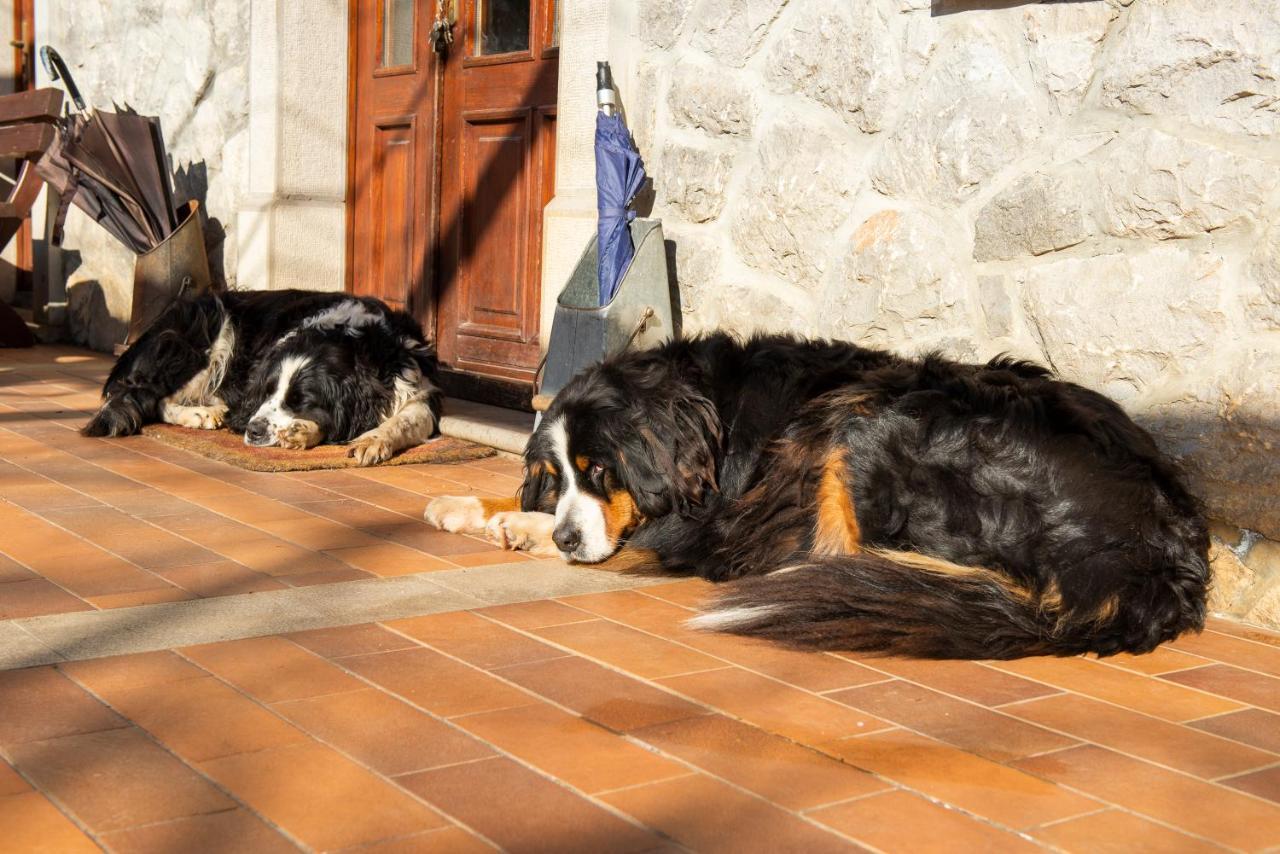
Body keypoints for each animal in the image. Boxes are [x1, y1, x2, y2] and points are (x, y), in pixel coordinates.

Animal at [85, 289, 442, 468]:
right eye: (267, 391)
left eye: (301, 401)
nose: (254, 431)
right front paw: (300, 433)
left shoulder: (417, 384)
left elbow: (409, 417)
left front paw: (373, 440)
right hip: (203, 333)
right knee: (148, 397)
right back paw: (201, 413)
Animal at [430, 332, 1208, 660]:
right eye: (560, 472)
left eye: (602, 471)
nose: (566, 535)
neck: (708, 411)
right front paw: (477, 508)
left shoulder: (705, 520)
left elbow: (634, 541)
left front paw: (524, 530)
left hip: (867, 414)